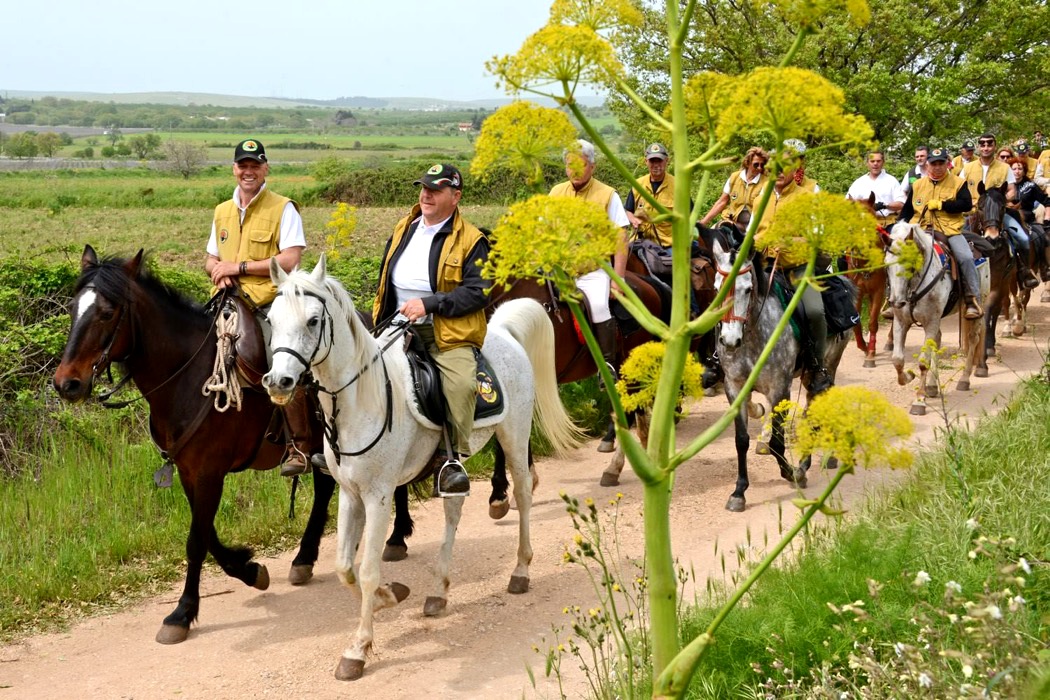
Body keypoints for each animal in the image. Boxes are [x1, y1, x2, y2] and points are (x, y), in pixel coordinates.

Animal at [52, 247, 331, 646]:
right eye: (73, 309)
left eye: (107, 313)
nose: (66, 383)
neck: (185, 375)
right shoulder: (189, 472)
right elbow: (207, 533)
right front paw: (249, 569)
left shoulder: (211, 472)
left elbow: (196, 541)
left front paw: (181, 614)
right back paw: (305, 559)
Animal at [258, 256, 579, 680]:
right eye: (272, 319)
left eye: (313, 321)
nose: (278, 381)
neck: (362, 400)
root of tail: (502, 330)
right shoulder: (350, 494)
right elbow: (344, 566)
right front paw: (389, 596)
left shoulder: (378, 497)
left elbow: (367, 569)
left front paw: (358, 648)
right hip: (455, 462)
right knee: (454, 510)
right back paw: (438, 591)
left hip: (513, 434)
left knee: (524, 494)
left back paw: (520, 572)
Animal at [881, 221, 986, 413]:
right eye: (886, 265)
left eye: (909, 263)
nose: (896, 302)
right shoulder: (901, 321)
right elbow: (897, 359)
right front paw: (909, 376)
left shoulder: (931, 321)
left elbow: (924, 360)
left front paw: (919, 400)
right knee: (938, 339)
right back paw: (931, 386)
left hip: (980, 303)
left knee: (973, 338)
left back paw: (964, 379)